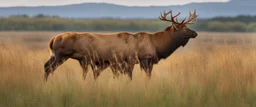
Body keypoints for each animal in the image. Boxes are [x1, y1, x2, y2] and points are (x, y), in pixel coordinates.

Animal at [44, 9, 198, 80]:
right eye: (184, 28)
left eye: (187, 27)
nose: (195, 33)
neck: (157, 45)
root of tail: (52, 39)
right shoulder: (138, 59)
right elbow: (135, 76)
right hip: (61, 55)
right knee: (49, 68)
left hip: (59, 56)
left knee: (46, 66)